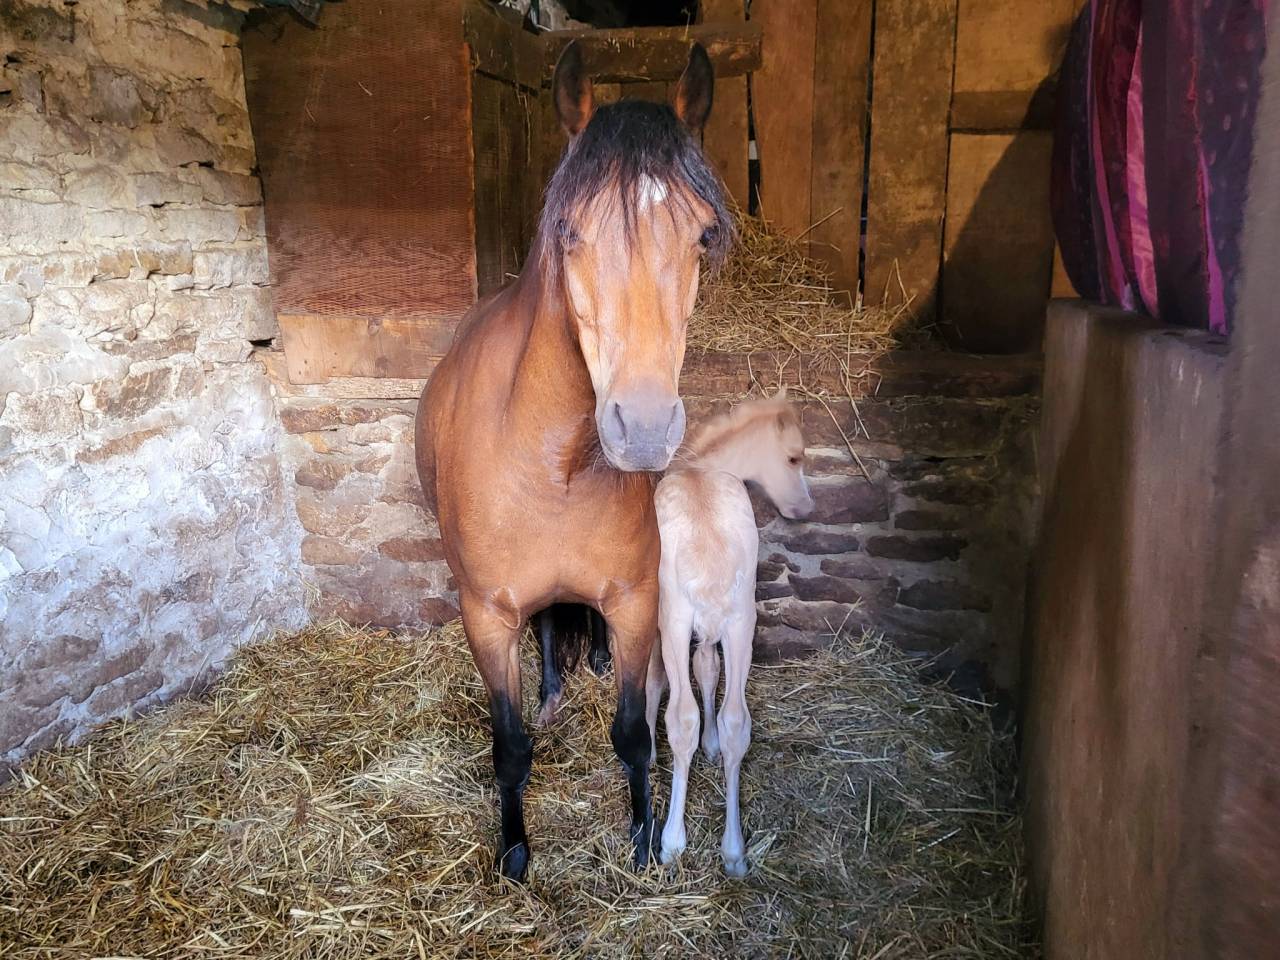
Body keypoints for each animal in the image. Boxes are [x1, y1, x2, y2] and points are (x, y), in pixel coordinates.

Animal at [414, 40, 732, 881]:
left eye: (703, 234)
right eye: (569, 231)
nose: (643, 429)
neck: (552, 462)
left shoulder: (636, 604)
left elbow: (634, 735)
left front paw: (644, 839)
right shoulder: (486, 618)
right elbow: (509, 745)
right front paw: (516, 851)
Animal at [643, 391, 814, 876]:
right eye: (793, 456)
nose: (806, 509)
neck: (702, 468)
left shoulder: (673, 620)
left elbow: (668, 680)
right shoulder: (717, 624)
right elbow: (708, 670)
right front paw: (713, 746)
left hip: (678, 620)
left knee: (681, 717)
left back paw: (673, 843)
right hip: (740, 622)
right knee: (735, 719)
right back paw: (734, 852)